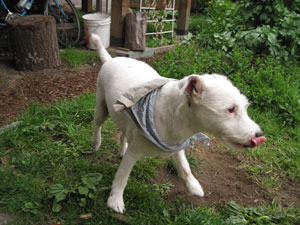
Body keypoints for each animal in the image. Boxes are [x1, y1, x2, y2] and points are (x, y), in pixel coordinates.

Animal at [90, 34, 266, 214]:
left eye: (245, 107)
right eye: (231, 109)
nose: (259, 135)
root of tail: (112, 59)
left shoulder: (177, 146)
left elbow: (185, 167)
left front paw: (193, 186)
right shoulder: (134, 152)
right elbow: (122, 176)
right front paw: (115, 200)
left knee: (123, 132)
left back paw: (121, 149)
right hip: (101, 108)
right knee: (98, 125)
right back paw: (96, 143)